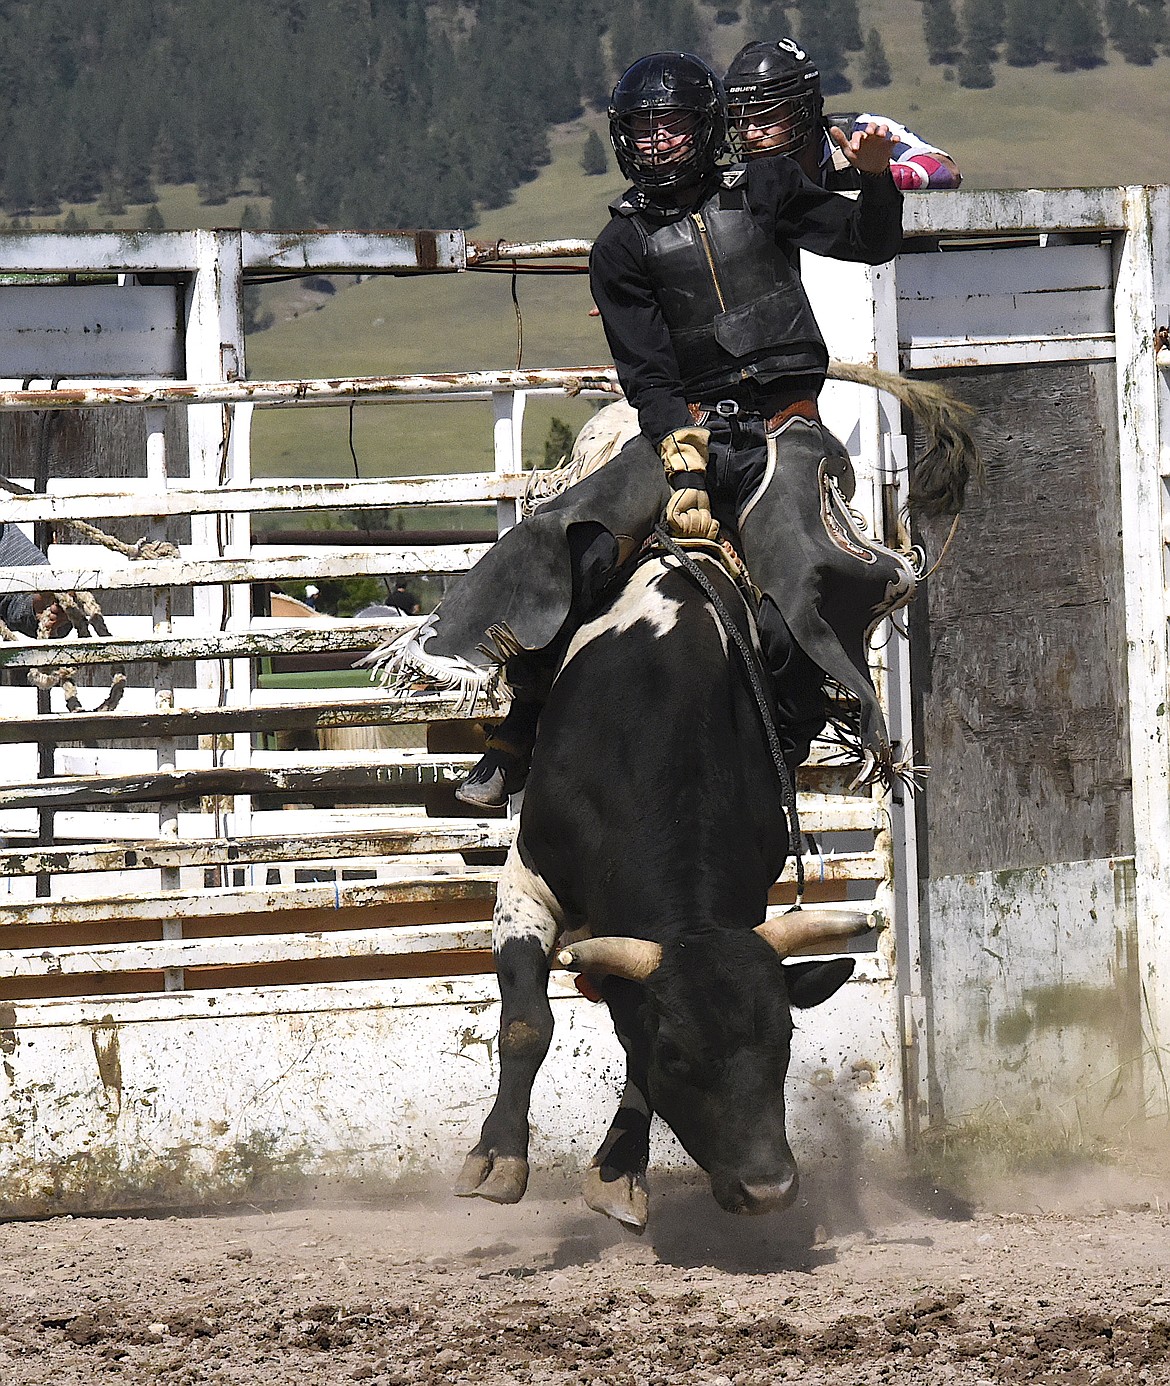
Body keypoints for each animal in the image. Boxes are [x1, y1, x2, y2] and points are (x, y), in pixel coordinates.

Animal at [454, 546, 870, 1230]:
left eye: (784, 1040)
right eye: (676, 1053)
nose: (769, 1189)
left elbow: (629, 1043)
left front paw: (619, 1170)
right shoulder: (528, 878)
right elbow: (527, 1024)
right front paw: (497, 1158)